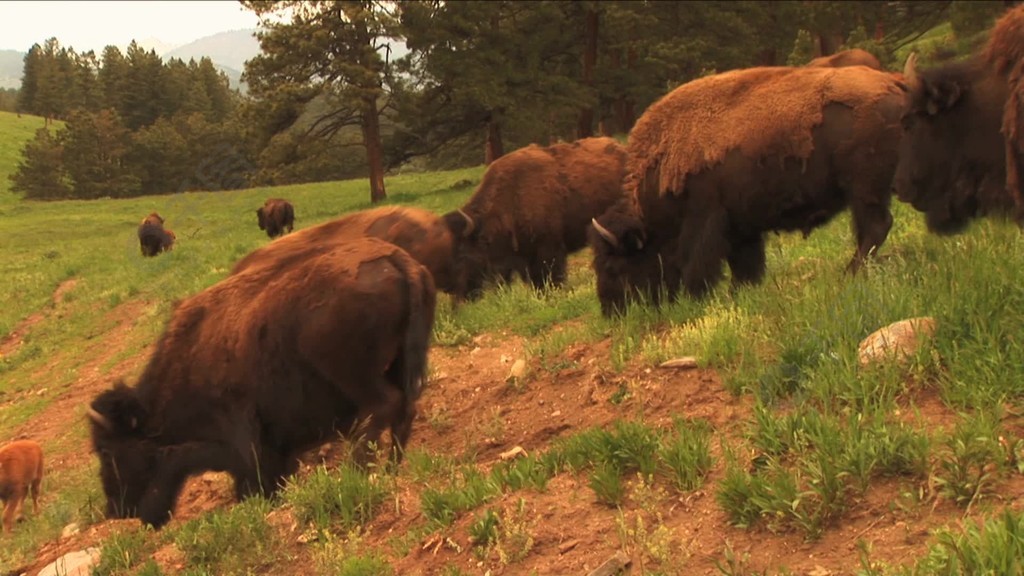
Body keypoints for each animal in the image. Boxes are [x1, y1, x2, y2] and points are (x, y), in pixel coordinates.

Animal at [88, 235, 436, 528]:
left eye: (106, 451)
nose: (116, 510)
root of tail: (400, 259)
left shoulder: (240, 436)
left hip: (354, 375)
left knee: (383, 406)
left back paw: (356, 472)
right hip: (401, 364)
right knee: (404, 409)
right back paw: (391, 468)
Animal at [589, 65, 909, 315]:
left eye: (613, 268)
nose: (610, 311)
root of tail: (894, 83)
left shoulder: (704, 220)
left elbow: (696, 263)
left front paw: (695, 298)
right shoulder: (741, 226)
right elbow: (745, 263)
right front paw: (741, 291)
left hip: (864, 189)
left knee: (874, 227)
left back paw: (849, 274)